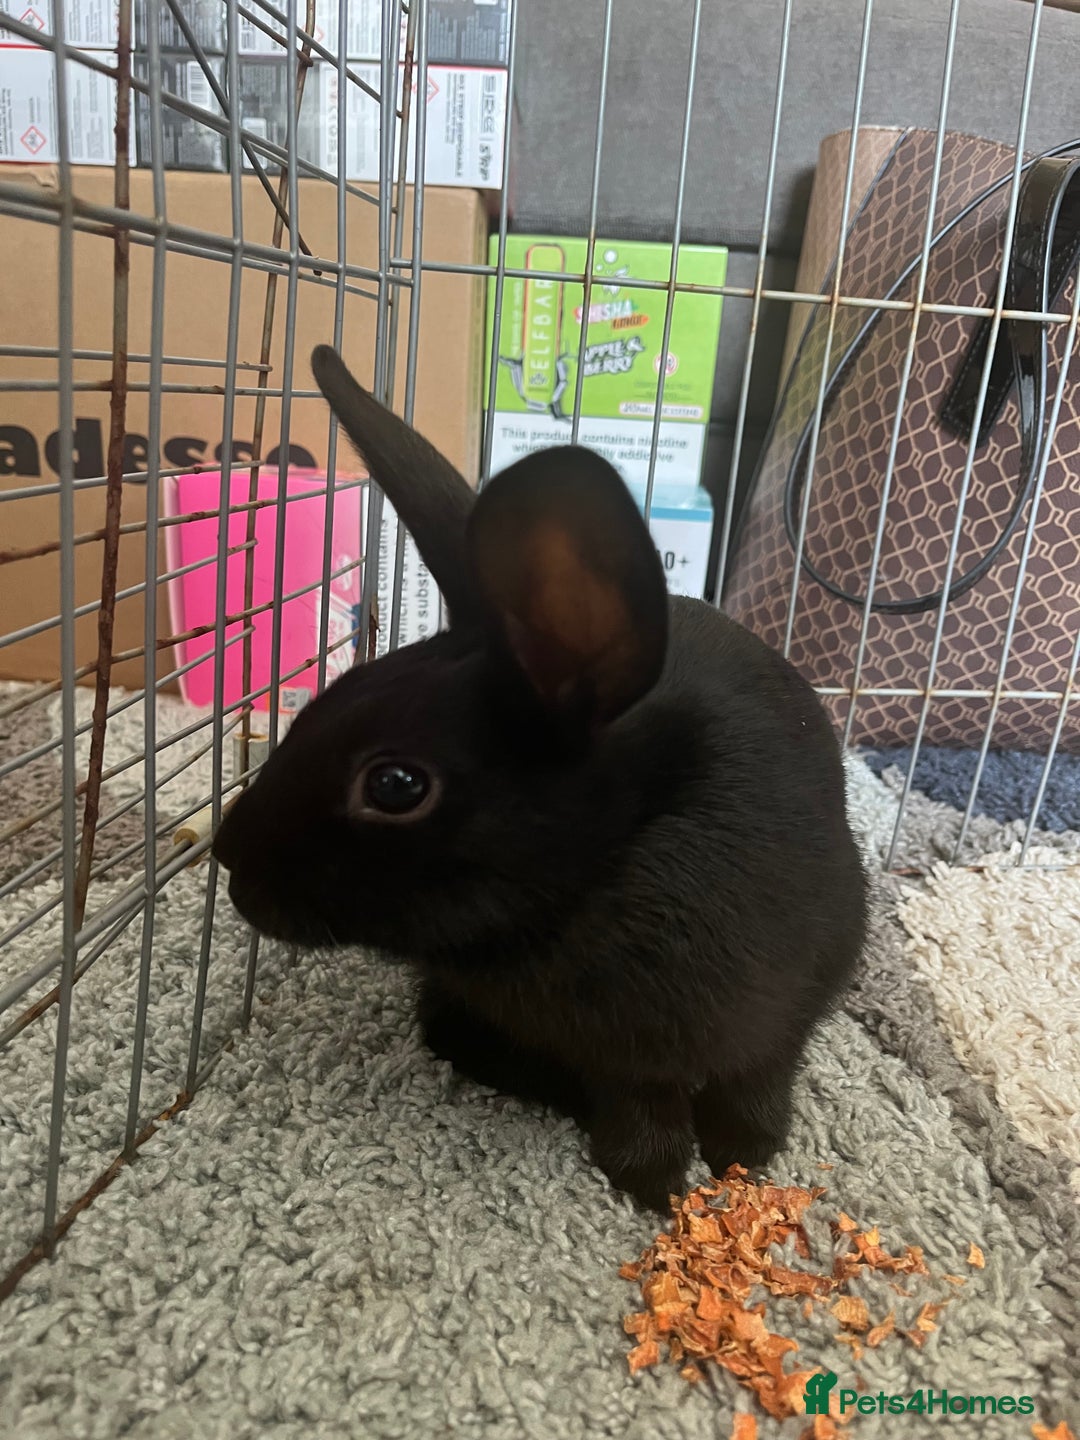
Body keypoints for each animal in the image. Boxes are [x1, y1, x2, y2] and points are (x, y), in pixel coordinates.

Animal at [211, 343, 869, 1214]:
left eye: (395, 786)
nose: (228, 857)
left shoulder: (787, 1005)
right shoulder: (624, 1062)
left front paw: (742, 1157)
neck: (608, 864)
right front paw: (654, 1181)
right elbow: (638, 1105)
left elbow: (761, 1076)